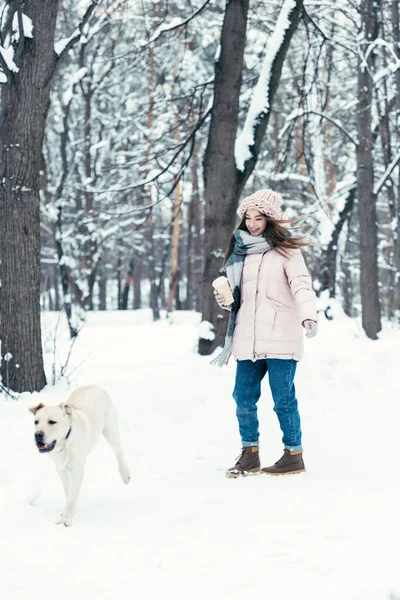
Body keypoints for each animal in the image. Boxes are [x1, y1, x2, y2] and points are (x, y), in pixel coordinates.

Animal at [29, 384, 130, 524]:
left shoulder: (76, 471)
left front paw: (65, 520)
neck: (65, 442)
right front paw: (68, 512)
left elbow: (71, 497)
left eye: (52, 422)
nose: (37, 434)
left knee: (118, 450)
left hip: (110, 430)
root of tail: (95, 386)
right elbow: (68, 492)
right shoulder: (60, 470)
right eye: (36, 422)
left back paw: (125, 474)